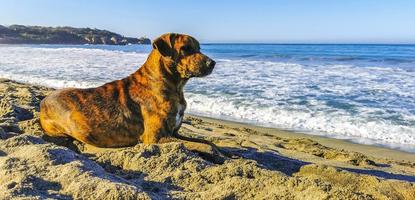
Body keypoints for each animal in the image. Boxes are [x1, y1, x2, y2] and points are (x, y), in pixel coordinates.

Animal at [40, 32, 226, 161]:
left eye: (199, 48)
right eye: (185, 49)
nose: (212, 63)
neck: (173, 85)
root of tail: (44, 100)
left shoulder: (175, 133)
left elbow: (208, 142)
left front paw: (223, 151)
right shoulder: (156, 137)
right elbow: (202, 146)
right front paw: (218, 155)